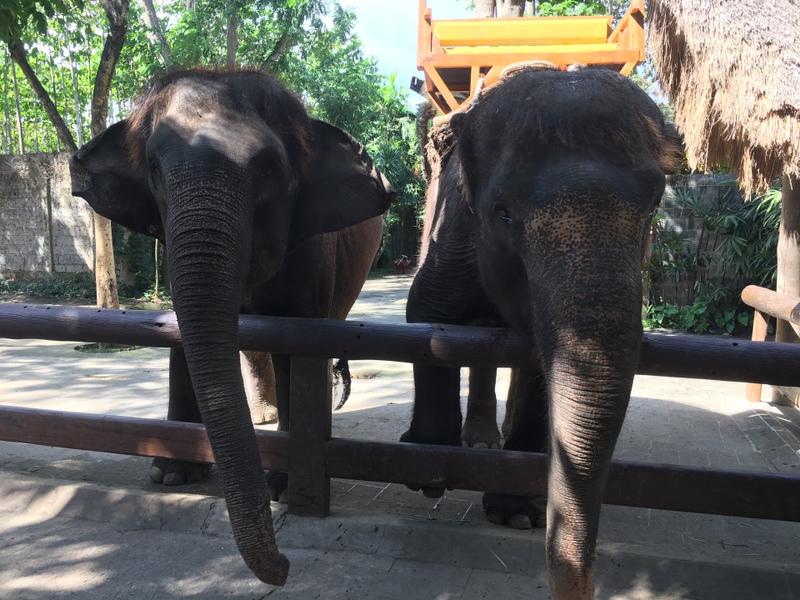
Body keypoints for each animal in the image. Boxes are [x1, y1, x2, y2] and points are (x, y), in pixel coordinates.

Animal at [70, 68, 394, 586]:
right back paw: (261, 417)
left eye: (269, 170)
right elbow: (183, 336)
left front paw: (284, 484)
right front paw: (171, 475)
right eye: (154, 169)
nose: (284, 567)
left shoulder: (312, 253)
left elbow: (295, 343)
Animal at [402, 66, 681, 600]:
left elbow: (537, 360)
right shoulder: (453, 230)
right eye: (504, 213)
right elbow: (424, 315)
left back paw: (490, 445)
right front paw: (427, 469)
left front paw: (518, 513)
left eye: (655, 205)